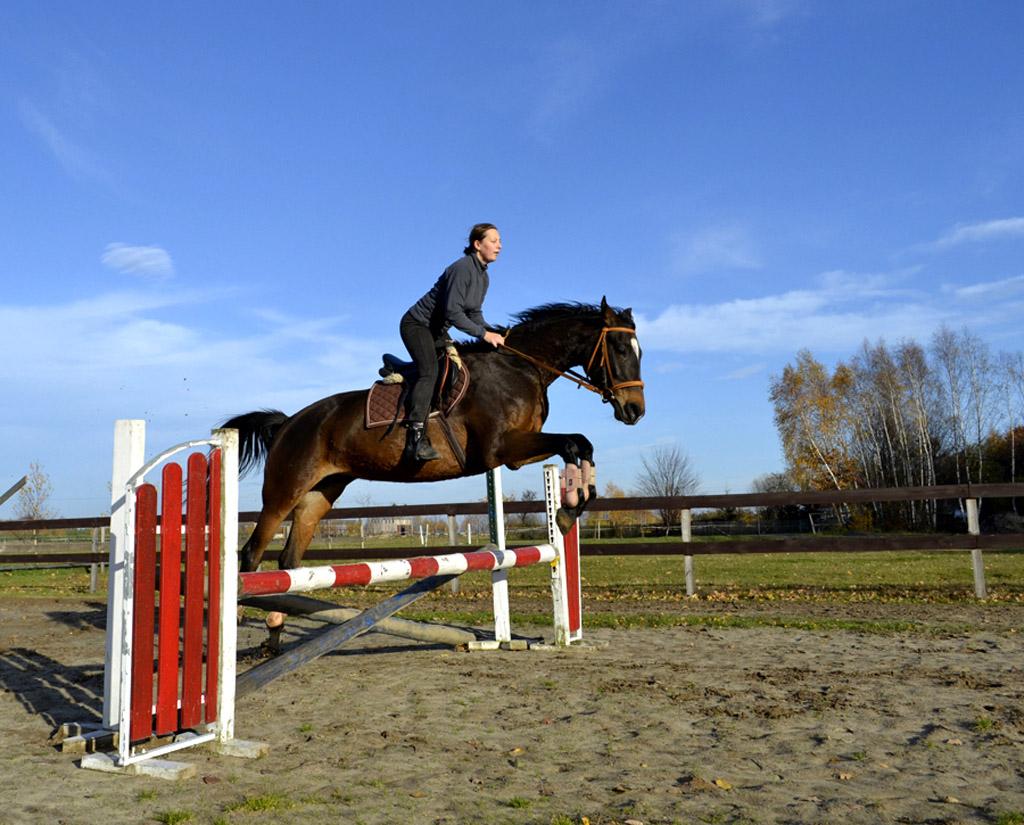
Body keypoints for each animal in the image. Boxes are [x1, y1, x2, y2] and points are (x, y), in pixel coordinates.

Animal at [225, 298, 643, 573]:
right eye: (620, 348)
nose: (635, 410)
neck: (521, 367)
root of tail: (288, 423)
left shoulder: (519, 452)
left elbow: (581, 443)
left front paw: (573, 504)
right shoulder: (501, 449)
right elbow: (572, 442)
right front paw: (569, 509)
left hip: (320, 493)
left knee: (289, 557)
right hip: (283, 491)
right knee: (253, 552)